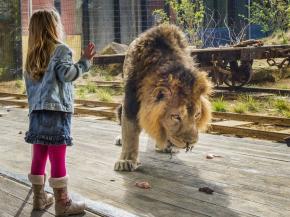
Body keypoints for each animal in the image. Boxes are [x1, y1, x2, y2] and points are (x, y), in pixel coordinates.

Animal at [114, 24, 212, 171]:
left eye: (197, 115)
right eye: (176, 116)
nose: (191, 142)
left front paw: (165, 145)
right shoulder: (131, 101)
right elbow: (130, 132)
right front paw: (126, 160)